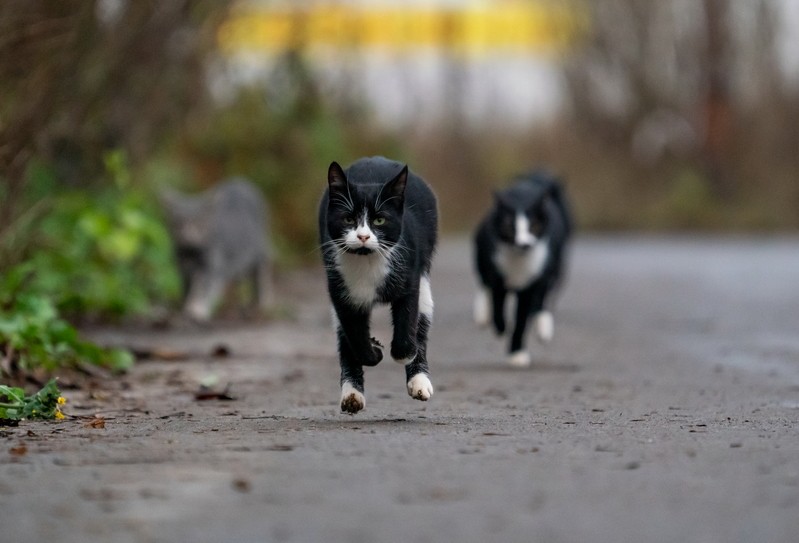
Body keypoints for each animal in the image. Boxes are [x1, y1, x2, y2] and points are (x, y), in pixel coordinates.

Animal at [160, 178, 272, 324]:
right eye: (178, 223)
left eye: (199, 223)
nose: (188, 236)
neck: (191, 253)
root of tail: (241, 181)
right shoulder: (183, 268)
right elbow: (188, 289)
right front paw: (186, 307)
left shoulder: (211, 267)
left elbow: (204, 288)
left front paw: (197, 310)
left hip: (258, 249)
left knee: (261, 272)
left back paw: (262, 303)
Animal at [318, 157, 440, 416]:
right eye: (348, 219)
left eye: (379, 220)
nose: (363, 236)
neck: (367, 262)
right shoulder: (340, 291)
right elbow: (355, 338)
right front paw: (374, 349)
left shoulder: (409, 277)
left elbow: (407, 325)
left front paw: (404, 354)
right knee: (344, 338)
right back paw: (352, 395)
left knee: (422, 318)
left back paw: (419, 382)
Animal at [472, 170, 572, 366]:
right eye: (508, 227)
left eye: (534, 226)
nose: (524, 244)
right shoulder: (497, 273)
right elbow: (497, 305)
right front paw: (501, 327)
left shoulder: (532, 282)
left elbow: (522, 319)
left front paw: (517, 353)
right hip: (481, 252)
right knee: (484, 282)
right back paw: (482, 314)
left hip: (555, 264)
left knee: (543, 297)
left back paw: (543, 326)